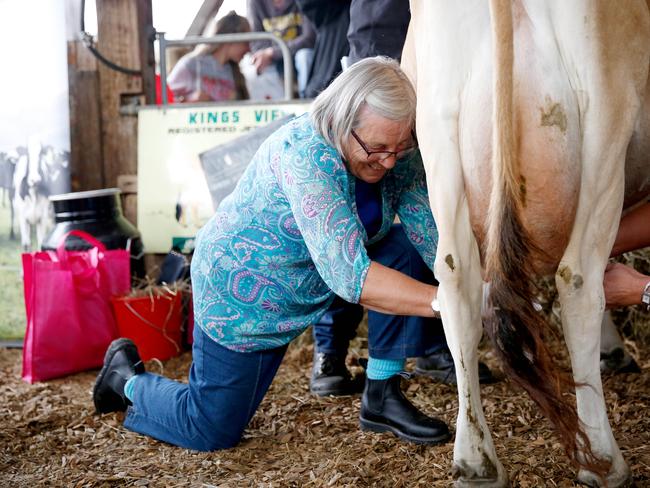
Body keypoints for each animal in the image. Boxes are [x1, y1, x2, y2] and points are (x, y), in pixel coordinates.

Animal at [402, 1, 648, 486]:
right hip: (604, 129)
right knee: (578, 279)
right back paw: (603, 461)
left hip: (439, 136)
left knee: (456, 282)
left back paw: (476, 462)